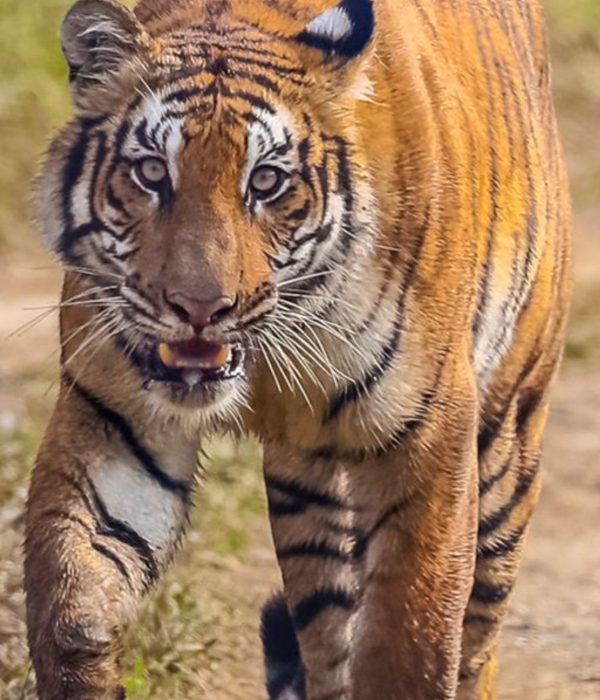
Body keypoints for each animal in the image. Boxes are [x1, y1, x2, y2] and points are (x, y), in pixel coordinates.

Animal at [24, 0, 572, 698]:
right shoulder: (113, 417)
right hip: (307, 490)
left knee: (479, 635)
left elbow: (411, 641)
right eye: (151, 173)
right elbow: (72, 601)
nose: (200, 308)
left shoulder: (431, 437)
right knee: (330, 628)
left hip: (508, 442)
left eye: (266, 182)